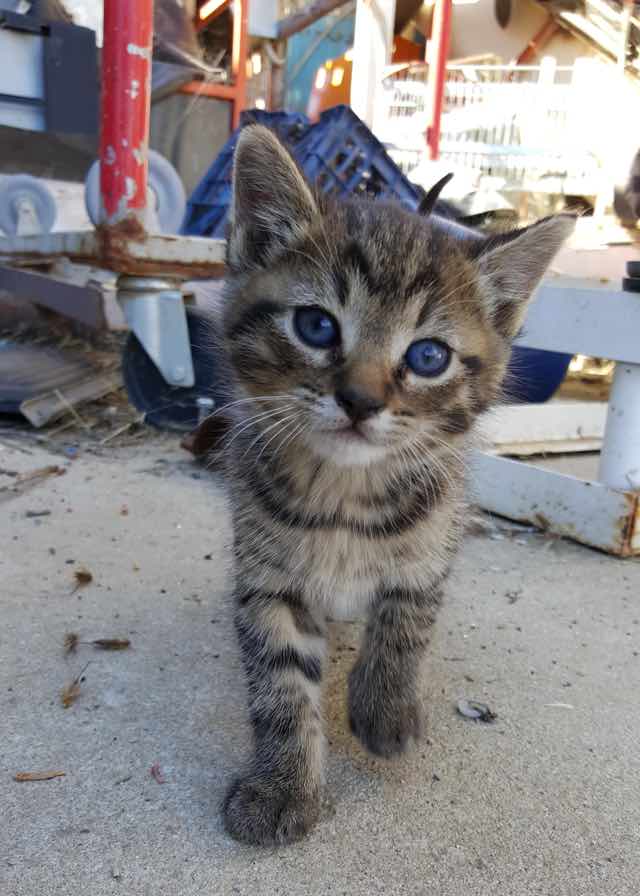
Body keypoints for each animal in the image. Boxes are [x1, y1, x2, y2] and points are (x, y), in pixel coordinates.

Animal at [214, 124, 574, 846]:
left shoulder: (432, 541)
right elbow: (280, 682)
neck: (342, 494)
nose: (359, 400)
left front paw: (384, 706)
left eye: (427, 356)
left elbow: (406, 617)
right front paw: (282, 785)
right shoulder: (267, 577)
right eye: (317, 325)